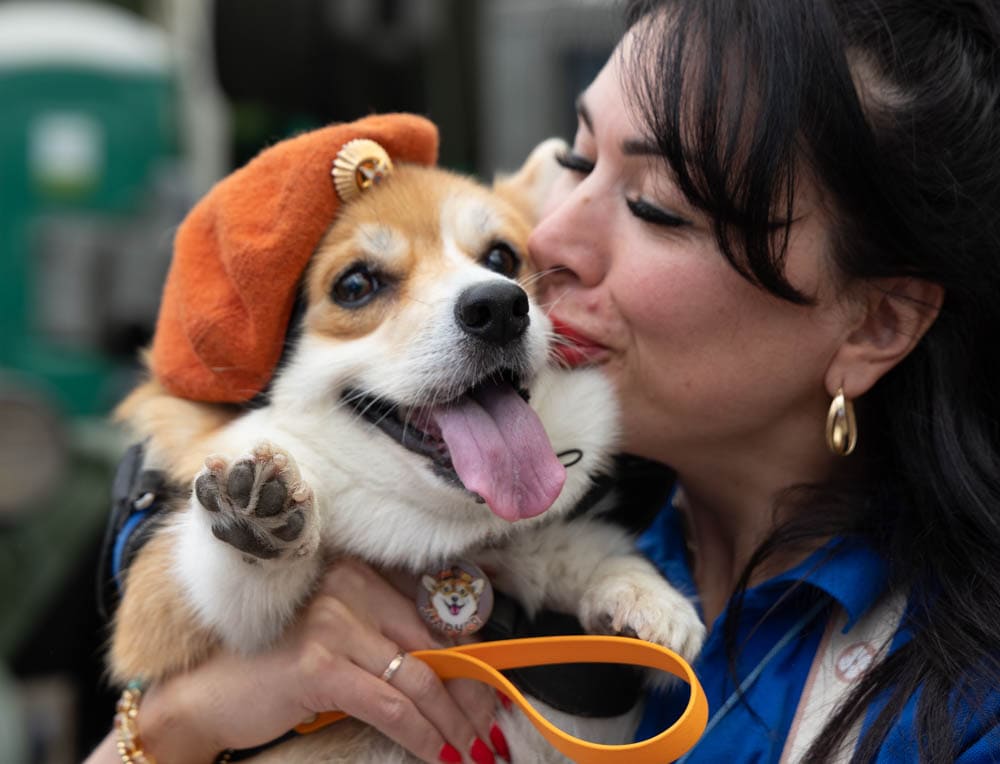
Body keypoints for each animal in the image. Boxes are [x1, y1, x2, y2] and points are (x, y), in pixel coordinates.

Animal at [109, 140, 704, 760]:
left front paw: (648, 600)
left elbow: (584, 549)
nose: (500, 307)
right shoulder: (158, 617)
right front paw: (256, 520)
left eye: (501, 257)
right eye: (354, 286)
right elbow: (226, 592)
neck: (439, 530)